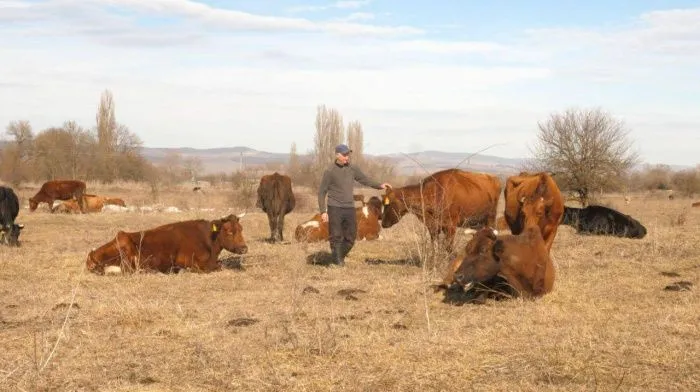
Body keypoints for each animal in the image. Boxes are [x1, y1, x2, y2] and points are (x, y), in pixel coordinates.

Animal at [86, 213, 247, 274]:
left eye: (241, 229)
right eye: (229, 231)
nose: (244, 248)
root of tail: (91, 255)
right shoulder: (193, 262)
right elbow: (218, 266)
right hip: (125, 245)